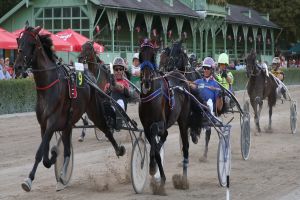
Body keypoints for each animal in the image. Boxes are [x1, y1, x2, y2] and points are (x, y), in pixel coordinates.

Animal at [13, 25, 124, 192]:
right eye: (19, 41)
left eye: (32, 43)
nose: (18, 67)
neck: (49, 85)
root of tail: (89, 75)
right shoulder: (44, 125)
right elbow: (45, 156)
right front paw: (53, 156)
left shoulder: (52, 122)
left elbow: (39, 153)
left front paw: (29, 180)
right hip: (68, 123)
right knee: (66, 151)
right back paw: (62, 177)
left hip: (94, 110)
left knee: (105, 128)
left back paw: (118, 149)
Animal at [138, 39, 190, 195]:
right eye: (140, 56)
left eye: (153, 56)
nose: (146, 81)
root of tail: (180, 74)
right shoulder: (146, 127)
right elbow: (155, 148)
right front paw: (154, 170)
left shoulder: (159, 123)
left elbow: (156, 147)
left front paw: (159, 179)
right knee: (164, 137)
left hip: (183, 120)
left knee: (185, 146)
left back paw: (184, 181)